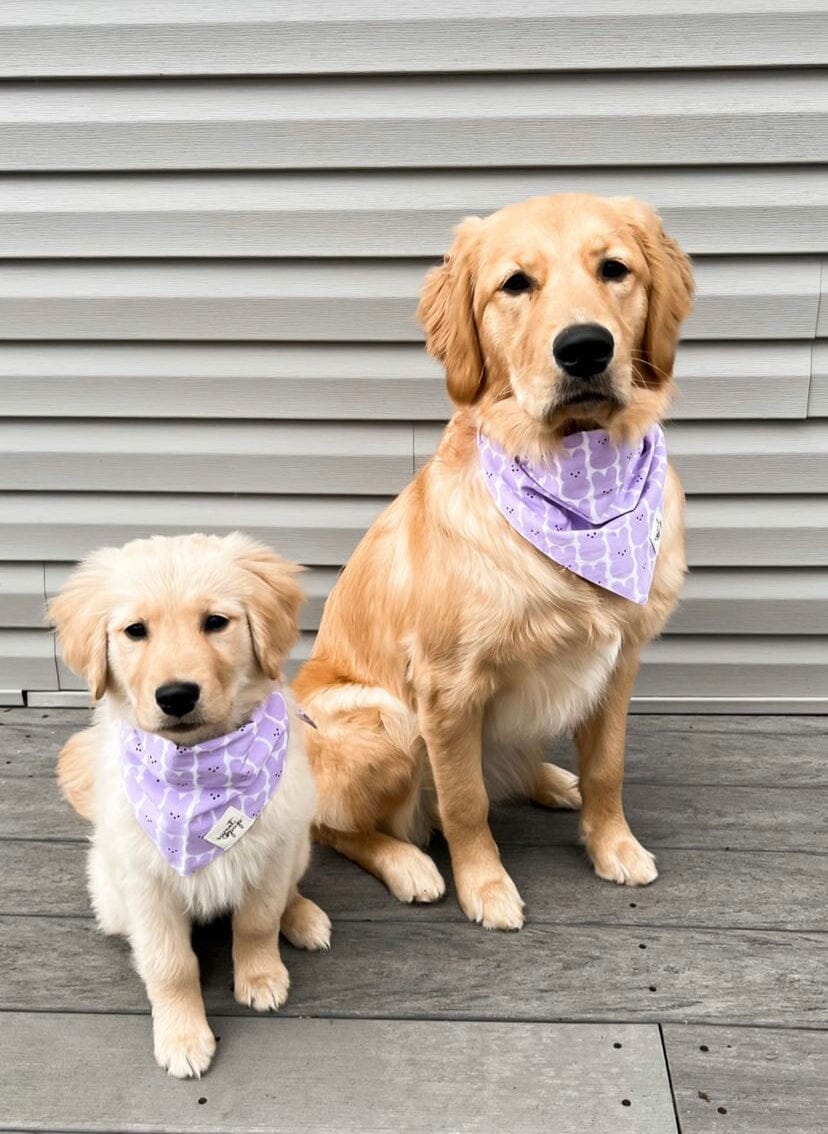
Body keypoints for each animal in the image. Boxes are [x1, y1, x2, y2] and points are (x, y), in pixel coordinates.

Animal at [49, 532, 328, 1079]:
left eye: (215, 622)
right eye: (135, 631)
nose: (176, 695)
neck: (201, 774)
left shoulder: (270, 850)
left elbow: (258, 920)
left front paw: (260, 977)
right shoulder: (144, 882)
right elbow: (170, 964)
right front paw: (181, 1036)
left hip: (299, 841)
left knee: (289, 890)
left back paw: (304, 917)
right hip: (109, 892)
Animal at [292, 192, 694, 929]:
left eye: (614, 268)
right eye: (515, 284)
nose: (586, 347)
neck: (577, 472)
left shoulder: (619, 659)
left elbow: (608, 769)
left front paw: (613, 846)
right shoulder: (447, 690)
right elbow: (464, 802)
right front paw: (485, 887)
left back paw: (550, 780)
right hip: (380, 719)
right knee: (333, 827)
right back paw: (409, 864)